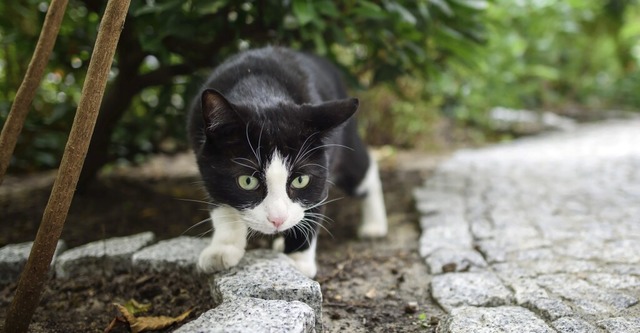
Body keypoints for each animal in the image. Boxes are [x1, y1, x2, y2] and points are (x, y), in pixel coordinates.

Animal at [185, 45, 384, 276]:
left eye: (300, 180)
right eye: (247, 181)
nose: (277, 220)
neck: (261, 90)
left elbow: (314, 204)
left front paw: (298, 261)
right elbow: (221, 200)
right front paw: (222, 249)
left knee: (364, 169)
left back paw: (374, 225)